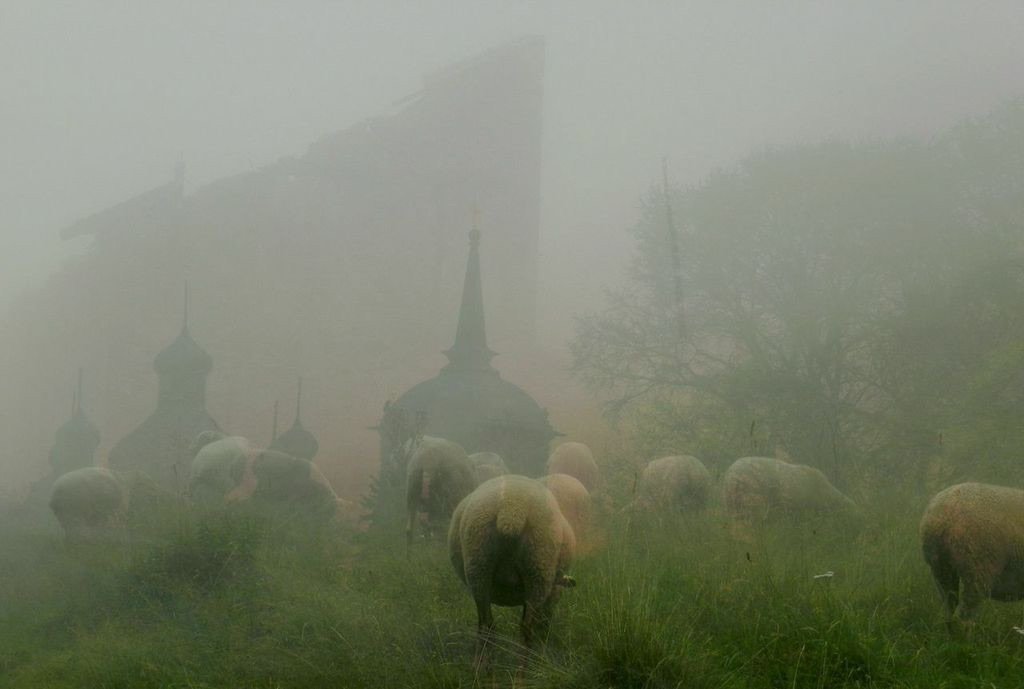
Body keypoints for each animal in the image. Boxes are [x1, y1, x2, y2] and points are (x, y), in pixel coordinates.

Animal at [448, 475, 577, 663]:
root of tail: (511, 510)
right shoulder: (552, 592)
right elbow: (543, 623)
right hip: (539, 570)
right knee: (526, 628)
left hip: (478, 569)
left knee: (487, 626)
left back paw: (482, 668)